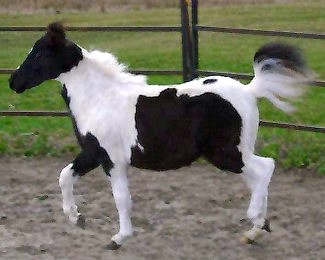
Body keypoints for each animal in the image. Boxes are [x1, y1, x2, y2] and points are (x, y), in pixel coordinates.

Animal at [8, 22, 310, 250]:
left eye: (39, 54)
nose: (13, 82)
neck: (98, 98)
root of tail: (249, 90)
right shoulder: (93, 154)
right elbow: (64, 176)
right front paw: (76, 218)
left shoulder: (112, 160)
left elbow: (121, 197)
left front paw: (118, 238)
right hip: (238, 151)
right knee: (259, 176)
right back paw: (258, 228)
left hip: (227, 153)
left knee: (265, 168)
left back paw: (254, 224)